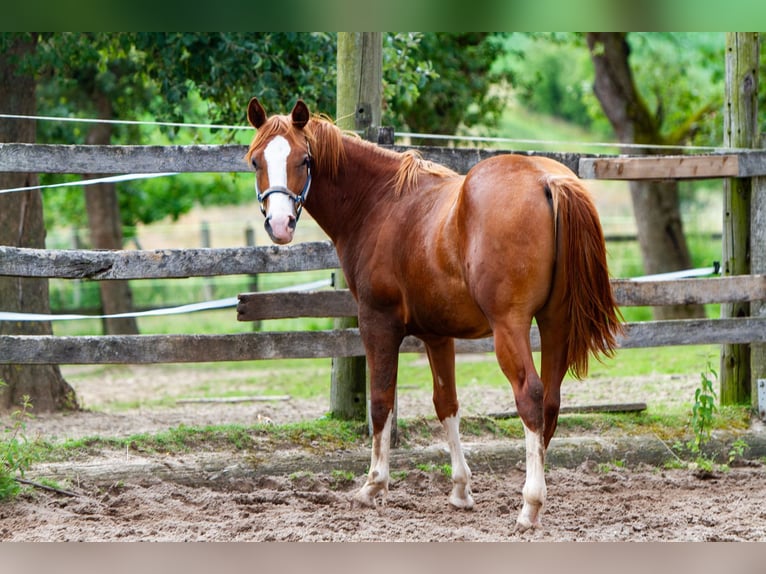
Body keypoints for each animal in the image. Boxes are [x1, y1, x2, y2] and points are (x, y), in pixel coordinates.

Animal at [246, 98, 624, 532]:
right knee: (550, 402)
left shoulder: (377, 323)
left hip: (510, 328)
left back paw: (530, 505)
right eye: (256, 160)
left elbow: (381, 402)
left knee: (530, 396)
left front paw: (374, 485)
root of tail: (547, 179)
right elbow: (447, 404)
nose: (279, 225)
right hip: (555, 322)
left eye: (304, 159)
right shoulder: (437, 334)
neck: (379, 203)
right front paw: (460, 489)